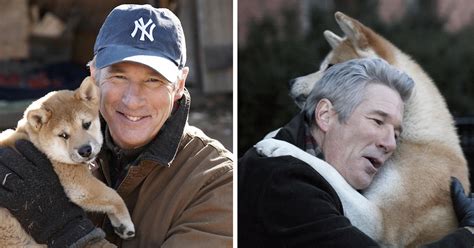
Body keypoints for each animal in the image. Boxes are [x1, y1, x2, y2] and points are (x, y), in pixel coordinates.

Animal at [258, 11, 472, 246]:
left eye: (330, 67)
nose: (291, 82)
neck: (418, 140)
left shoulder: (381, 224)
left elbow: (330, 171)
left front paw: (280, 147)